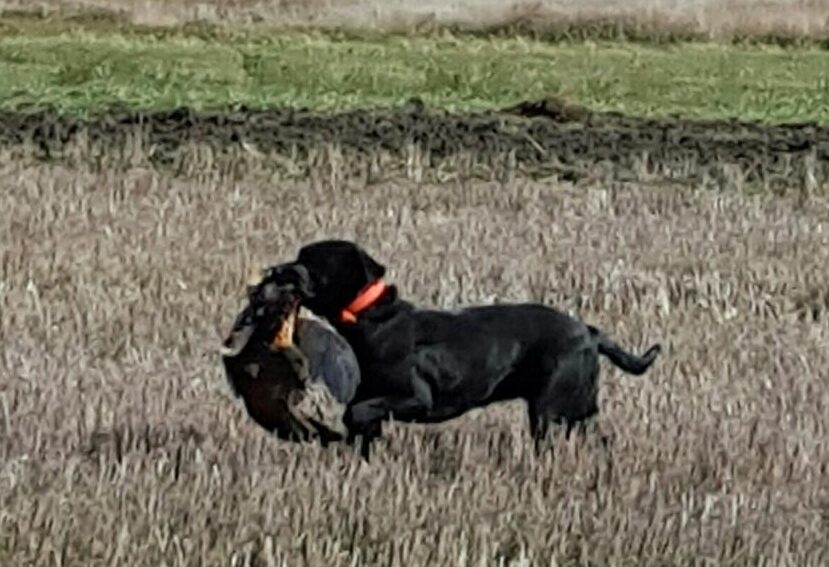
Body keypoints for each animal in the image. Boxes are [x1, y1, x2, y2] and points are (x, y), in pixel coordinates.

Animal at [266, 239, 660, 458]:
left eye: (308, 261)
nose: (275, 269)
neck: (373, 321)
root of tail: (590, 333)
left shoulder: (416, 399)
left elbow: (357, 412)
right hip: (578, 409)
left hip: (550, 410)